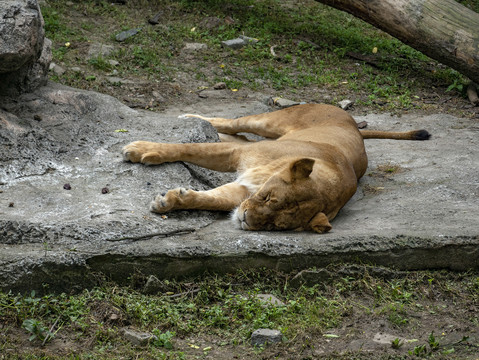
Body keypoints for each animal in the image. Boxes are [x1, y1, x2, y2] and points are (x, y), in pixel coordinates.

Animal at [122, 104, 430, 233]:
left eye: (276, 225)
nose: (245, 220)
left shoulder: (242, 190)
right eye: (269, 198)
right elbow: (186, 148)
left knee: (235, 134)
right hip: (269, 121)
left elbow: (212, 200)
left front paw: (169, 201)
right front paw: (140, 150)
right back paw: (190, 117)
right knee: (233, 124)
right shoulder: (239, 157)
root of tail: (355, 124)